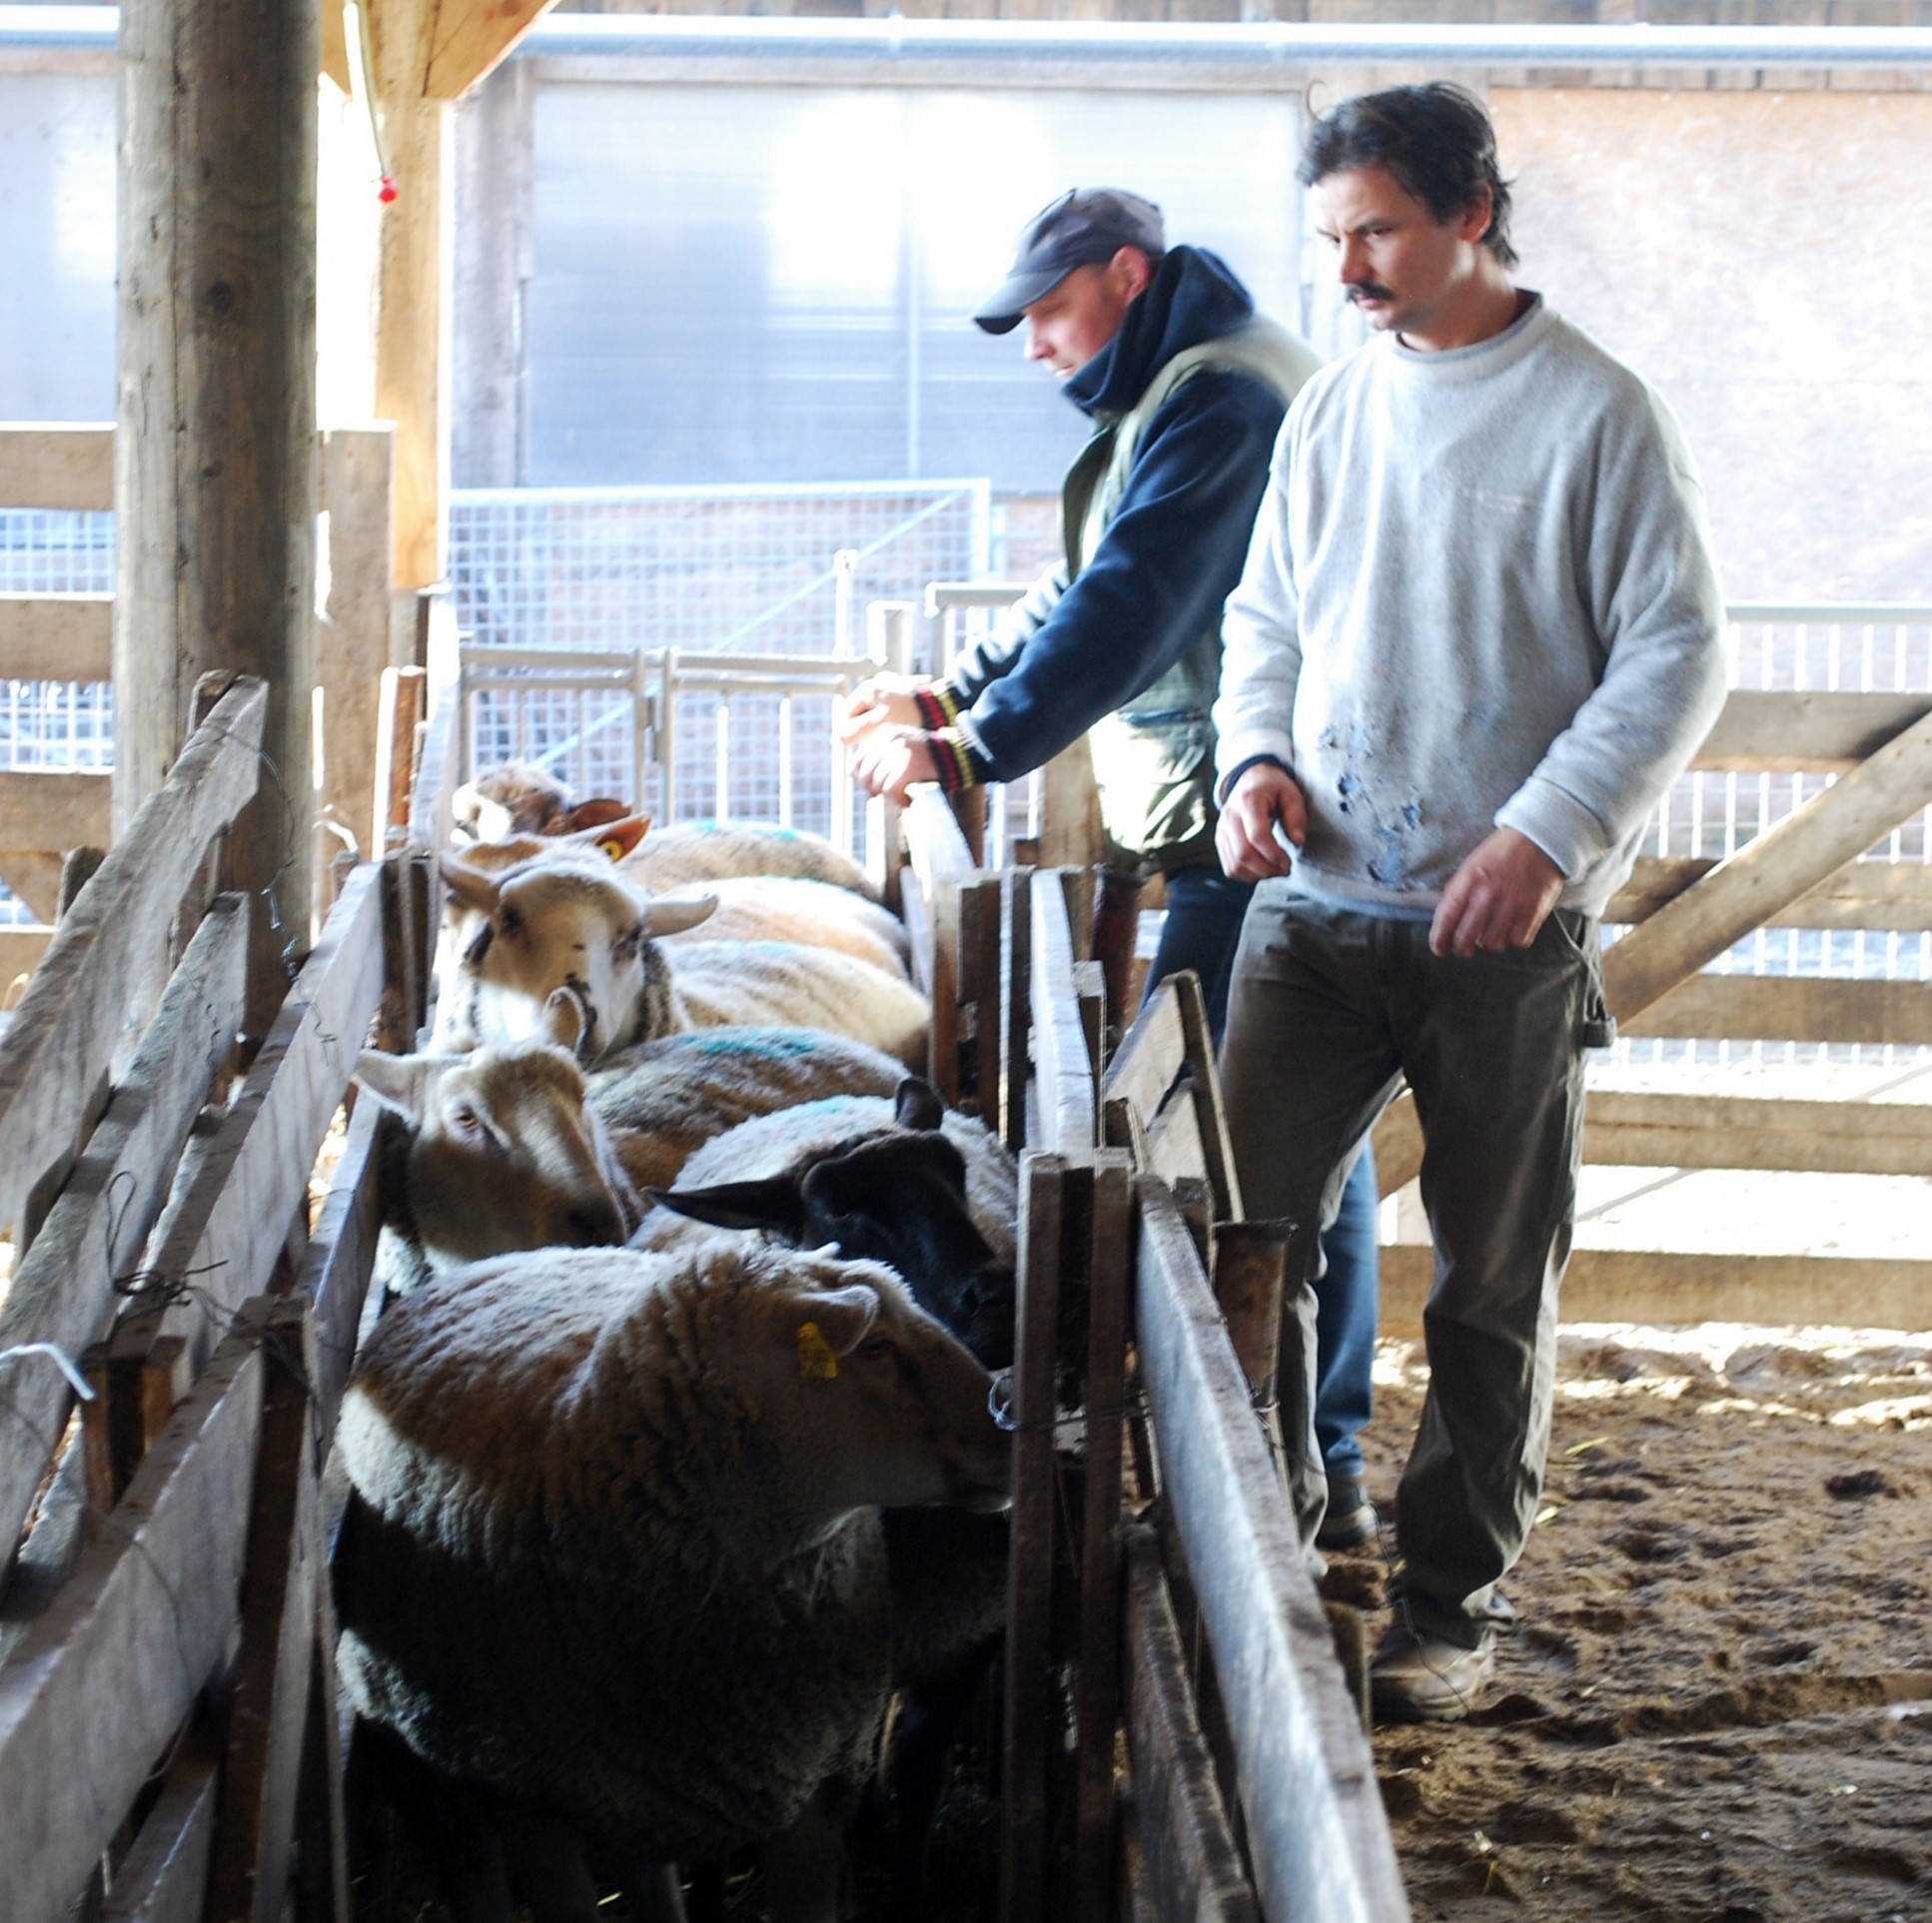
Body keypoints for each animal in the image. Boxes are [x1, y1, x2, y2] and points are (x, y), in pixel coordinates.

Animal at [332, 1237, 1012, 1923]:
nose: (1008, 1432)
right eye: (875, 1348)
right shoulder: (532, 1809)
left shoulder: (816, 1787)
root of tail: (500, 1259)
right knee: (473, 1868)